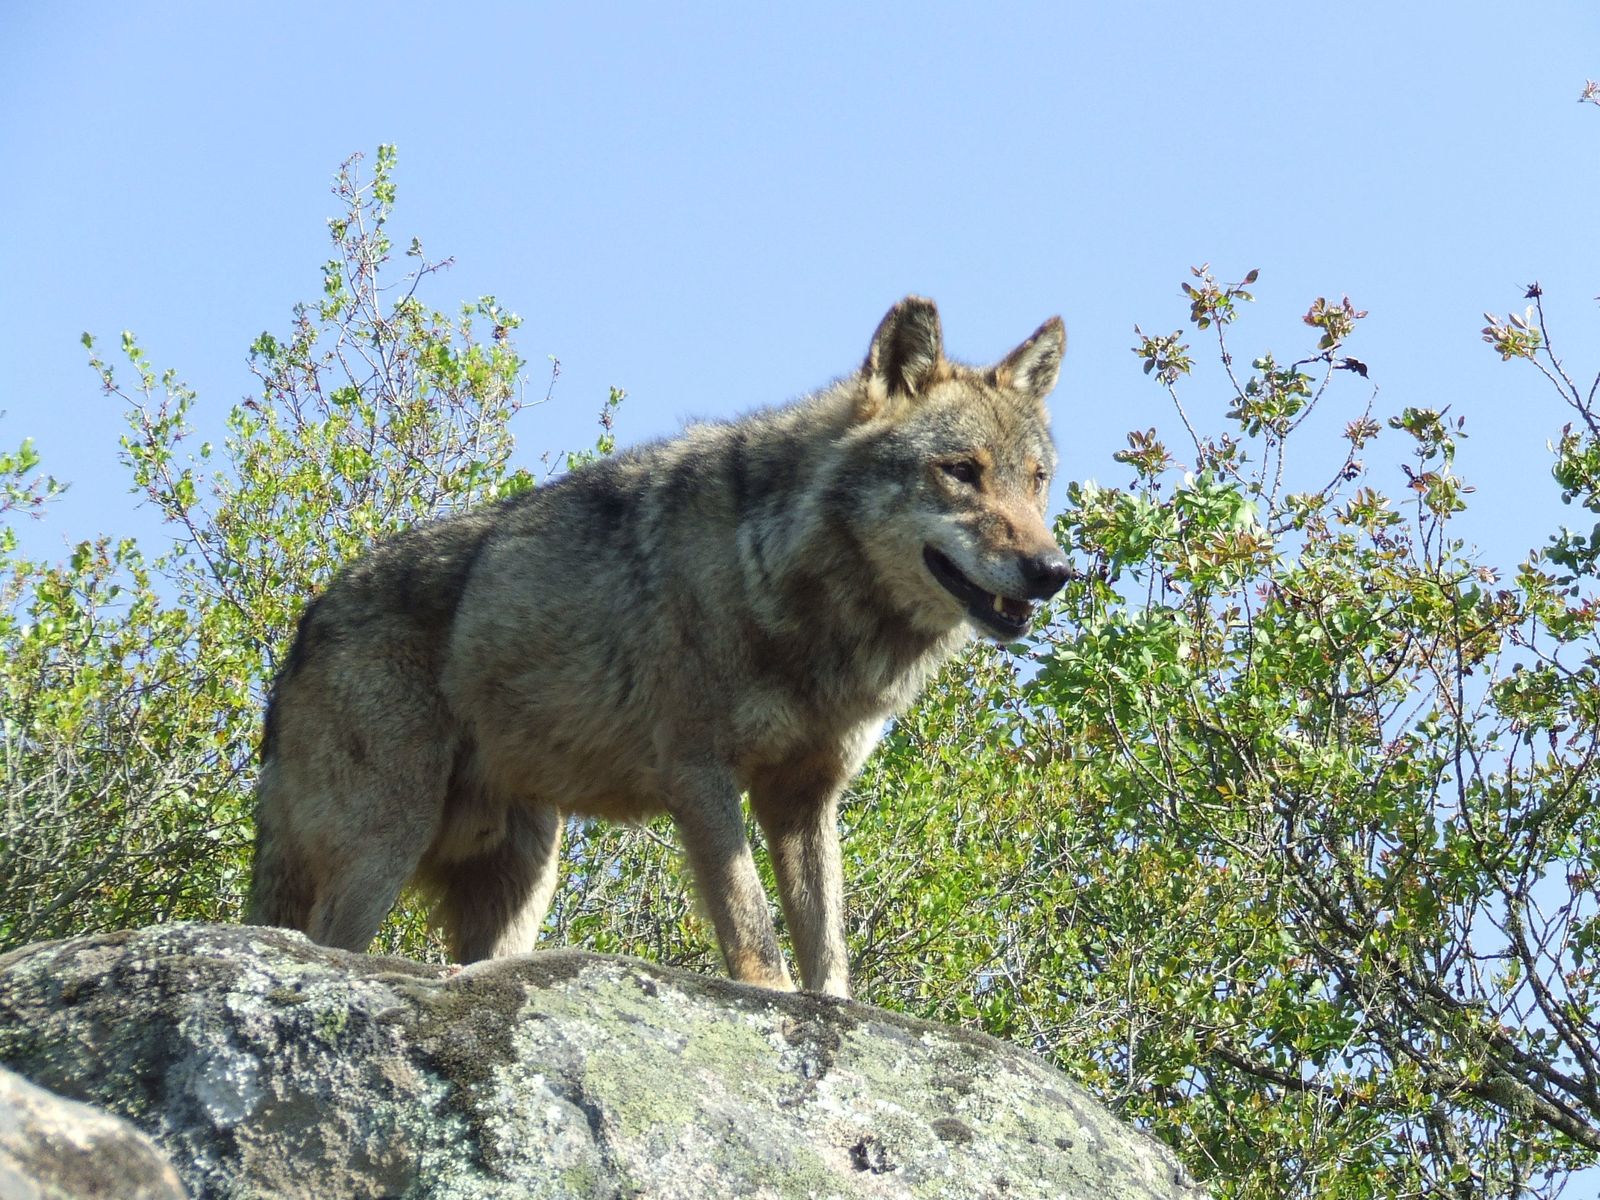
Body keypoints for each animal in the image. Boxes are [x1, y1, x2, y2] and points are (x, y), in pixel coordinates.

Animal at [248, 296, 1071, 997]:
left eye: (1036, 481)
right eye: (961, 471)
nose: (1055, 571)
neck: (783, 579)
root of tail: (304, 627)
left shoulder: (805, 798)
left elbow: (826, 947)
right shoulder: (700, 773)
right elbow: (752, 926)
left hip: (523, 881)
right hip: (388, 844)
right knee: (323, 944)